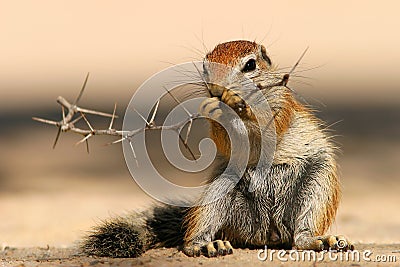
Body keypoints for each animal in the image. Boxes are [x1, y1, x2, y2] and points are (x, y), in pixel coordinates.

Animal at [81, 40, 354, 260]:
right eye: (205, 67)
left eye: (250, 65)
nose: (217, 90)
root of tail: (268, 234)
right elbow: (226, 139)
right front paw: (215, 109)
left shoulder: (280, 106)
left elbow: (268, 127)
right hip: (219, 190)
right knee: (198, 232)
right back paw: (205, 245)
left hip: (318, 183)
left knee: (301, 236)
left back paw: (321, 241)